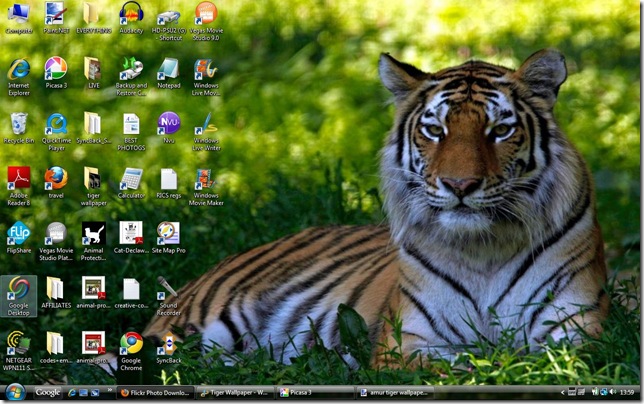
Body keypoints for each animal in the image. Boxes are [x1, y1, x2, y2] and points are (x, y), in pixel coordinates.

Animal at [142, 49, 608, 368]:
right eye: (435, 131)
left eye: (500, 130)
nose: (459, 185)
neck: (483, 249)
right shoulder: (409, 341)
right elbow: (461, 369)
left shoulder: (576, 328)